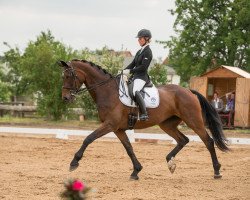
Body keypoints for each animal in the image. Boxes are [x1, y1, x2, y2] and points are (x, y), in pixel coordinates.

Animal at [58, 59, 229, 180]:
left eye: (68, 76)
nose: (65, 98)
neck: (108, 91)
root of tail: (189, 91)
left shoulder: (109, 125)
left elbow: (88, 138)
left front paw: (74, 163)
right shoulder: (118, 129)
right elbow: (129, 148)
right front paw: (136, 171)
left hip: (193, 120)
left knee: (208, 141)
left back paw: (217, 171)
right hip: (167, 124)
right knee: (183, 140)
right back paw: (170, 162)